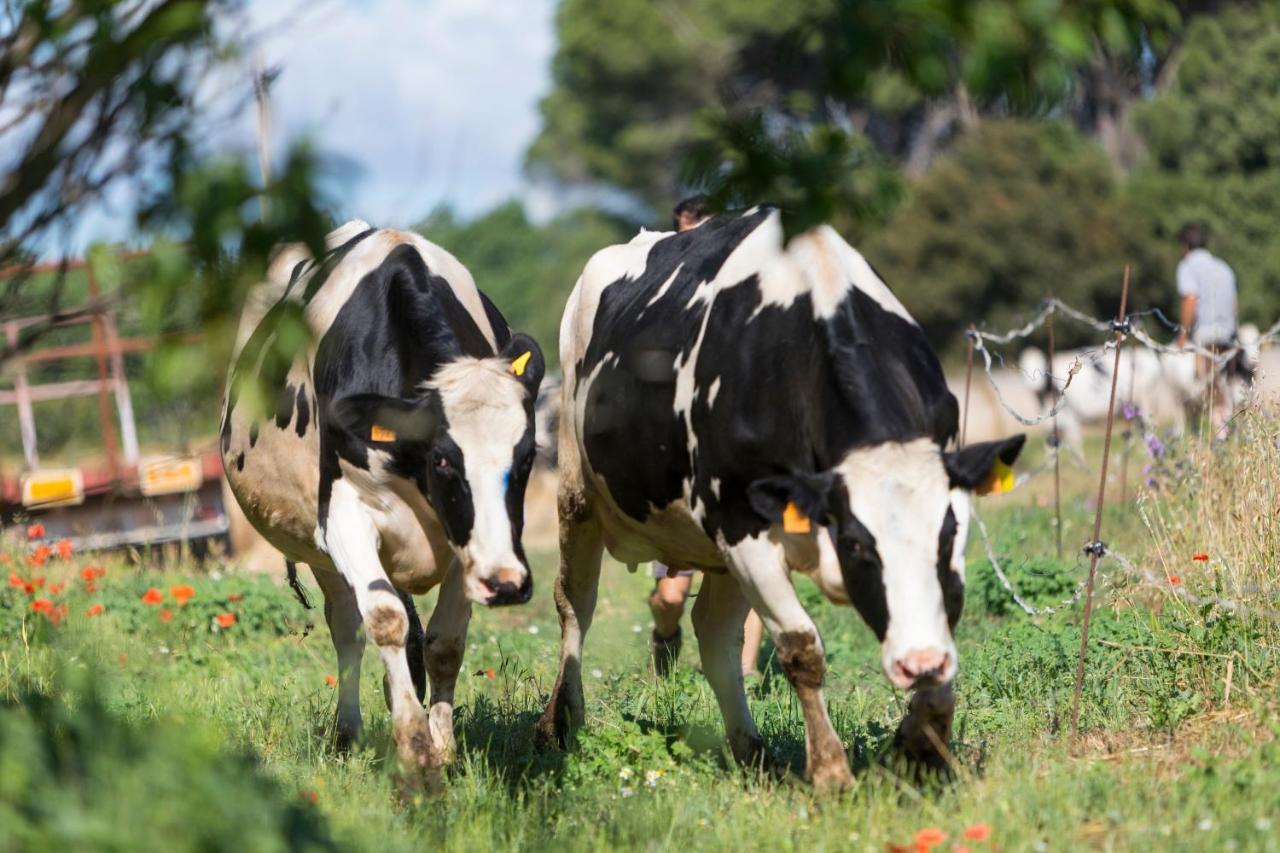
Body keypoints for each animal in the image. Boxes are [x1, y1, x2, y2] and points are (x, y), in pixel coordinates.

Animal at [222, 219, 542, 783]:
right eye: (443, 461)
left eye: (527, 457)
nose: (505, 582)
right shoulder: (344, 518)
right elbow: (387, 621)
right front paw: (414, 748)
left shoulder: (466, 541)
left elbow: (444, 643)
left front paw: (443, 747)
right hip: (320, 547)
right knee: (349, 628)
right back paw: (348, 733)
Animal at [537, 208, 1018, 788]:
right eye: (858, 546)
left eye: (949, 539)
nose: (919, 663)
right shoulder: (741, 521)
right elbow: (800, 649)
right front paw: (831, 772)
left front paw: (921, 749)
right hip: (577, 494)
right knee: (574, 604)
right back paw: (563, 722)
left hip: (710, 544)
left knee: (714, 632)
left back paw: (751, 751)